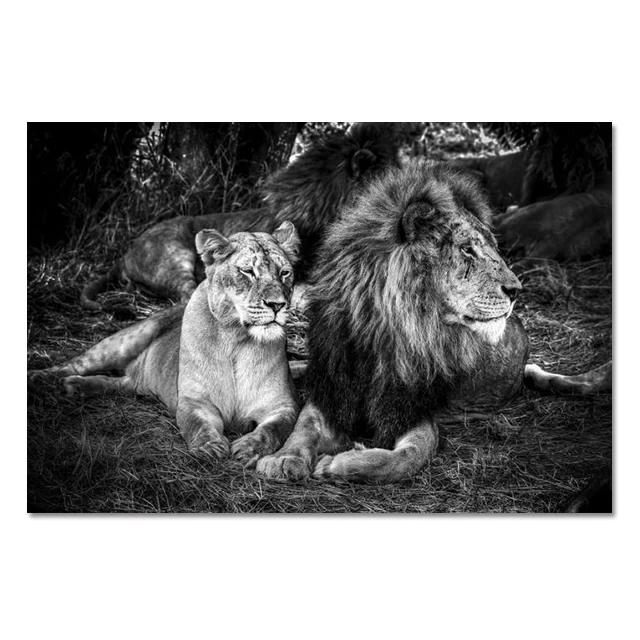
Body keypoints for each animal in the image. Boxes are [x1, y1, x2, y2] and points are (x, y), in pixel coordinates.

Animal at [35, 222, 301, 463]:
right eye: (247, 271)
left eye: (284, 273)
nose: (277, 305)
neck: (236, 338)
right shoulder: (194, 402)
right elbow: (198, 426)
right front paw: (209, 447)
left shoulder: (282, 407)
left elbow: (271, 431)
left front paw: (247, 447)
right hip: (128, 338)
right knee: (77, 363)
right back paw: (41, 378)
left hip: (137, 380)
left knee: (120, 383)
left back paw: (76, 387)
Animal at [256, 162, 611, 484]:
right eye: (467, 249)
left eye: (495, 248)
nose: (516, 290)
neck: (382, 331)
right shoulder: (333, 390)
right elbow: (304, 426)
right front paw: (282, 459)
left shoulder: (410, 409)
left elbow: (406, 457)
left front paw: (339, 463)